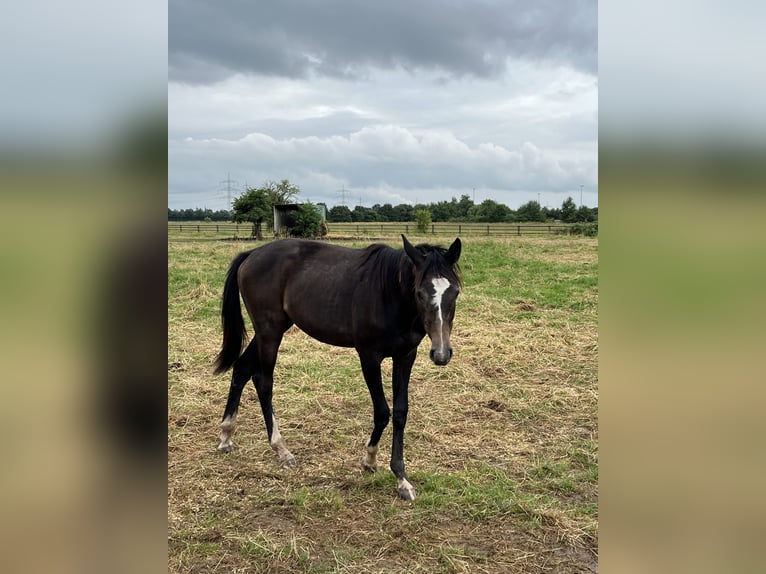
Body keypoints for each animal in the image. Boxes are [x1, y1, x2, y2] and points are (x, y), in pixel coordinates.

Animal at [213, 234, 462, 500]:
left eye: (455, 292)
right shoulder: (369, 357)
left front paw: (401, 479)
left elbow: (400, 413)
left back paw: (226, 434)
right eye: (419, 293)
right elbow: (382, 412)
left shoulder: (405, 356)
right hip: (269, 331)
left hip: (270, 330)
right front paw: (369, 460)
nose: (441, 353)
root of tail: (252, 254)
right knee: (263, 382)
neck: (388, 294)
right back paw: (280, 448)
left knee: (241, 369)